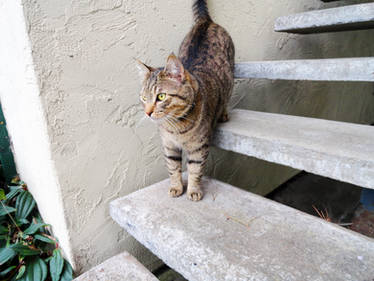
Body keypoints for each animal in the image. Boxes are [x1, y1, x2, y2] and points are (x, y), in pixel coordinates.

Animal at [137, 0, 234, 201]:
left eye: (161, 96)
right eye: (144, 98)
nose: (148, 112)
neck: (175, 126)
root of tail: (206, 22)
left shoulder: (199, 147)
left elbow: (195, 169)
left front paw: (194, 190)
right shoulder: (169, 146)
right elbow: (173, 168)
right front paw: (176, 187)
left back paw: (224, 113)